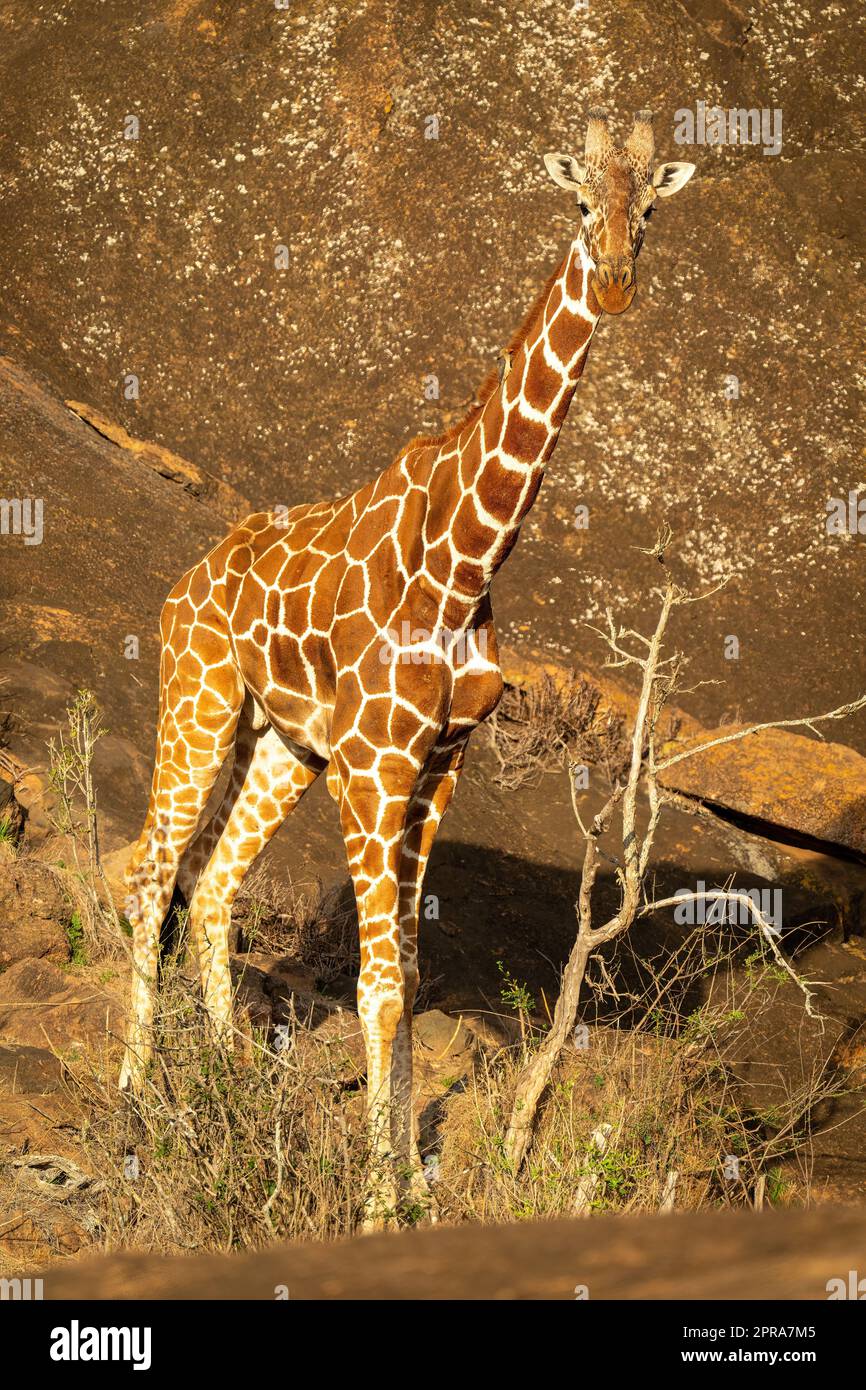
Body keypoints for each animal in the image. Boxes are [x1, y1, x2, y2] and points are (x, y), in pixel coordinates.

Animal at [120, 110, 695, 1222]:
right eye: (577, 202)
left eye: (648, 208)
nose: (613, 283)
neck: (466, 562)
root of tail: (182, 584)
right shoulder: (374, 764)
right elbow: (379, 984)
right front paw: (384, 1204)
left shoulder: (437, 762)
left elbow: (413, 977)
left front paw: (405, 1189)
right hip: (200, 699)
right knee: (152, 869)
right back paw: (133, 1095)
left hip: (281, 744)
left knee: (211, 882)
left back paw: (225, 1090)